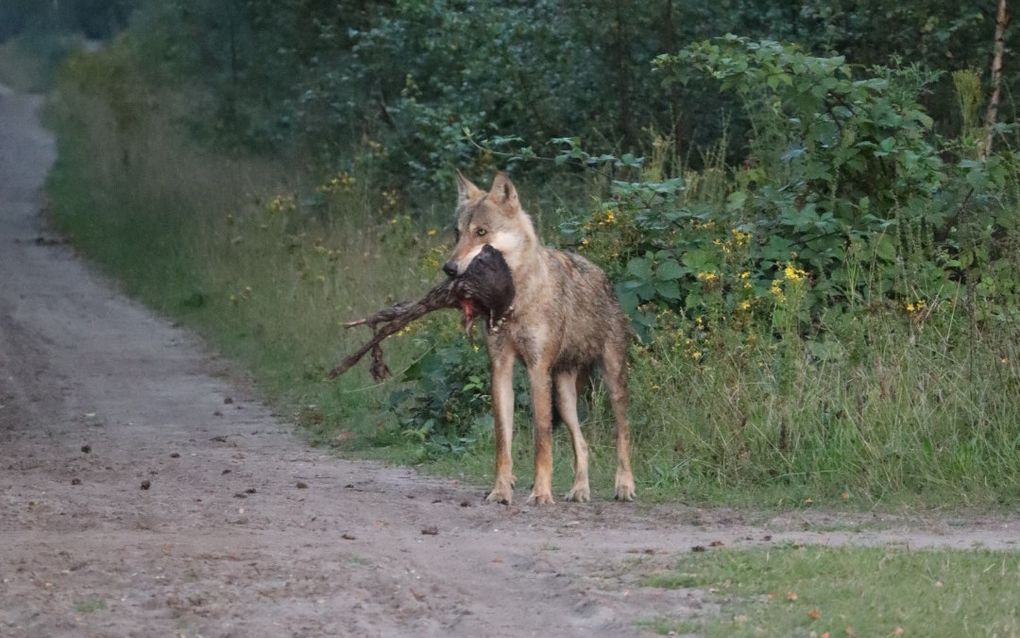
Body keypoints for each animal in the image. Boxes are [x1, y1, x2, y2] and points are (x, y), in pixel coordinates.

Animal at [442, 171, 632, 504]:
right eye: (457, 233)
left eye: (481, 232)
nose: (449, 269)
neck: (513, 300)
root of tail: (602, 274)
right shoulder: (501, 369)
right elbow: (502, 441)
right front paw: (501, 491)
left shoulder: (536, 369)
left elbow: (542, 439)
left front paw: (541, 493)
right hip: (564, 395)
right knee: (582, 443)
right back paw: (580, 490)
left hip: (612, 383)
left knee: (623, 433)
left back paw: (624, 486)